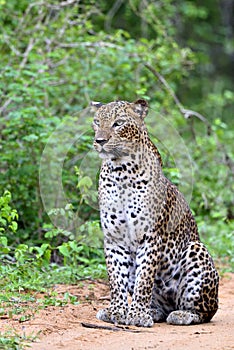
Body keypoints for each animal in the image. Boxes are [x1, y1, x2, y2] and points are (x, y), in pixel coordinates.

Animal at [90, 99, 218, 328]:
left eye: (118, 123)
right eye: (96, 121)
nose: (100, 140)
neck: (120, 171)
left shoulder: (150, 237)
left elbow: (144, 280)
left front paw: (137, 315)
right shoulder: (114, 238)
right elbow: (115, 279)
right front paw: (116, 311)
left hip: (196, 250)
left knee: (205, 311)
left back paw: (180, 314)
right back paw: (153, 310)